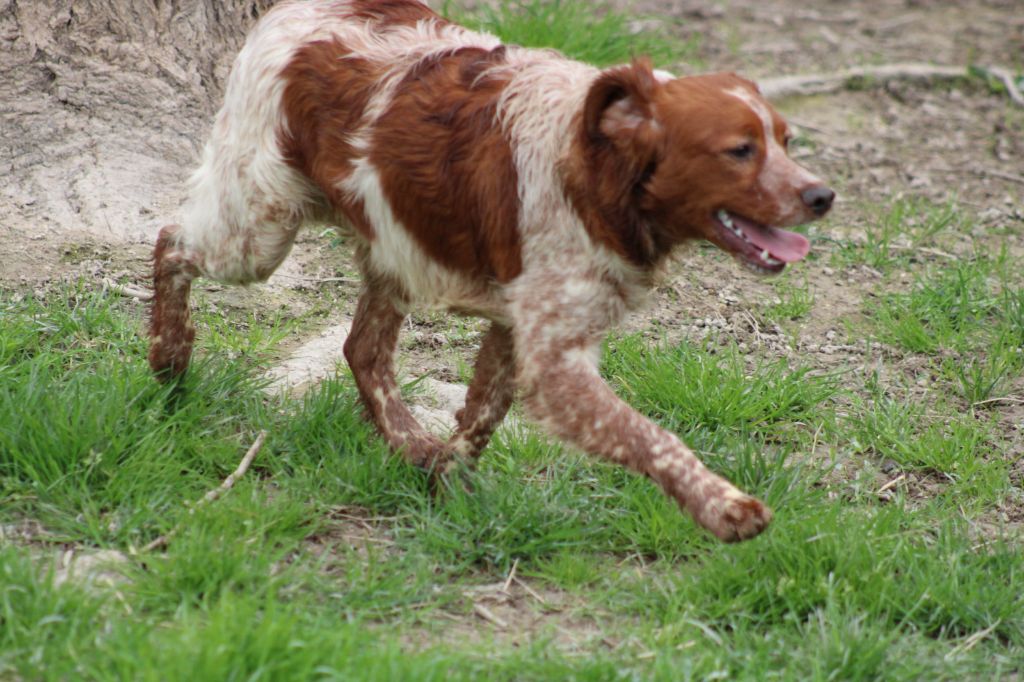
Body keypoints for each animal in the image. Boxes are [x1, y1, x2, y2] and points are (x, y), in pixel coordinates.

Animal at [148, 1, 831, 540]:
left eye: (787, 142)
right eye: (739, 150)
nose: (822, 195)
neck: (596, 173)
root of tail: (294, 9)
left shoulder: (518, 326)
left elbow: (482, 417)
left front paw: (447, 479)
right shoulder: (555, 362)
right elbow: (651, 437)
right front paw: (725, 507)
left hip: (391, 246)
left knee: (362, 351)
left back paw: (410, 443)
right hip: (260, 229)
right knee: (170, 240)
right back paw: (169, 355)